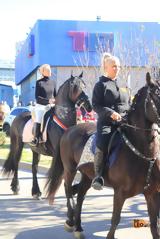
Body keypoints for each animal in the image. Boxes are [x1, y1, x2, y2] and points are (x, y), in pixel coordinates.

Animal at [46, 73, 160, 239]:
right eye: (157, 95)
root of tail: (69, 130)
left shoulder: (151, 194)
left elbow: (154, 225)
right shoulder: (119, 193)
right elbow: (115, 220)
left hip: (87, 175)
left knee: (80, 195)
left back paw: (78, 227)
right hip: (70, 169)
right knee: (68, 190)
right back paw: (70, 221)